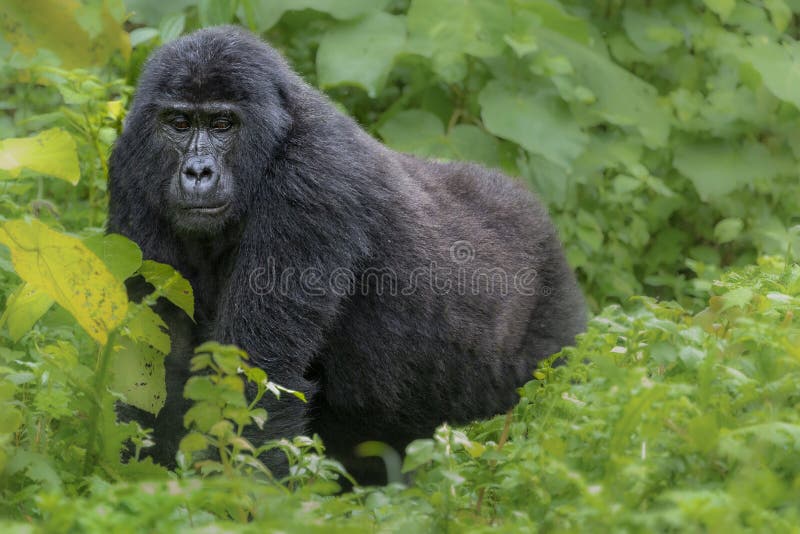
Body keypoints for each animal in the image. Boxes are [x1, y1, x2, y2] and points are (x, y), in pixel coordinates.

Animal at [108, 25, 588, 486]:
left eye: (223, 124)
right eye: (179, 122)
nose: (197, 172)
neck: (276, 138)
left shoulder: (312, 181)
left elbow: (256, 380)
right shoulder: (131, 164)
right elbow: (154, 364)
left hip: (554, 319)